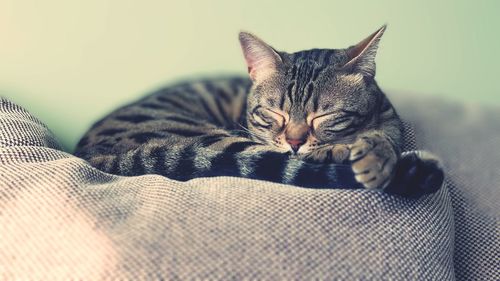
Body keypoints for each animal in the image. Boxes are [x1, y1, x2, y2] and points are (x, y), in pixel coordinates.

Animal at [73, 26, 442, 197]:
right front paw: (371, 157)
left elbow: (386, 135)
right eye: (274, 114)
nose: (294, 141)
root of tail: (89, 153)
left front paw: (377, 149)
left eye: (322, 117)